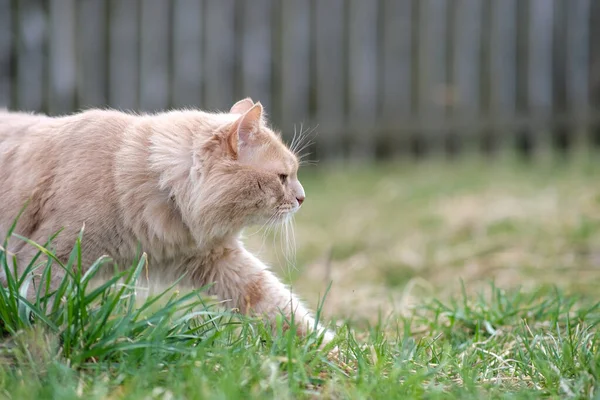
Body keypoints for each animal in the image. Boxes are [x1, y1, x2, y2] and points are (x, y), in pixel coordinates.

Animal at [0, 97, 332, 344]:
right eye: (282, 177)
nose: (302, 198)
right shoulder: (48, 259)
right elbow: (38, 311)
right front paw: (41, 348)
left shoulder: (220, 259)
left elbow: (280, 306)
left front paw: (330, 353)